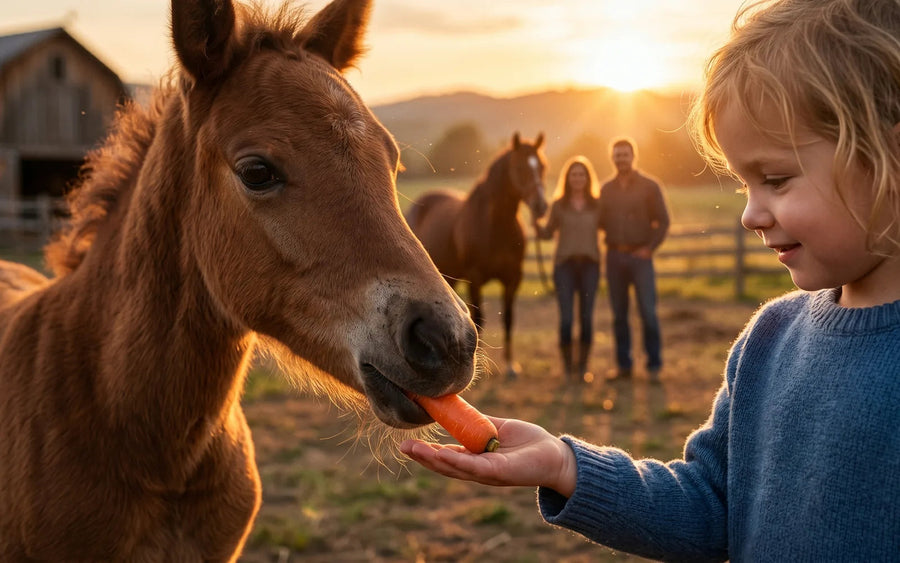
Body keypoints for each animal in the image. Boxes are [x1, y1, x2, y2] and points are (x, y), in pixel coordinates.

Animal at [405, 133, 548, 378]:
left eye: (542, 167)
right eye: (520, 167)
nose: (541, 206)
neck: (495, 225)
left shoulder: (512, 279)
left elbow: (508, 318)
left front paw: (511, 366)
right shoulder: (476, 278)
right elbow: (479, 319)